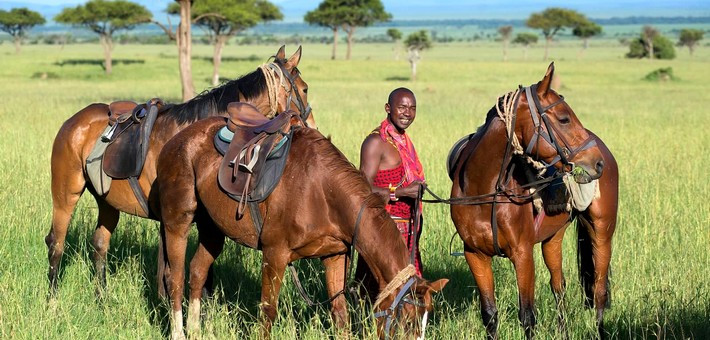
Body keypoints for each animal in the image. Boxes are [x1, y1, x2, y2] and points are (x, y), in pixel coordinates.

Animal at [41, 45, 314, 298]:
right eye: (304, 88)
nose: (311, 125)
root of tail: (73, 121)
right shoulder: (171, 219)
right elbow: (170, 274)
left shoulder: (203, 221)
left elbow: (203, 276)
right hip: (66, 194)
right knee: (56, 242)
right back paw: (52, 301)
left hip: (107, 202)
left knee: (99, 245)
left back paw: (102, 300)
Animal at [158, 115, 448, 338]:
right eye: (407, 320)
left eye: (427, 319)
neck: (322, 191)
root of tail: (175, 139)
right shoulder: (275, 254)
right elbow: (268, 311)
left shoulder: (335, 256)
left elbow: (339, 313)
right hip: (177, 221)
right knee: (176, 277)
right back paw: (179, 333)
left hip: (213, 229)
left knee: (197, 272)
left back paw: (196, 332)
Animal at [448, 63, 616, 338]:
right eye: (564, 118)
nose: (597, 162)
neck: (484, 190)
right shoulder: (475, 255)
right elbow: (490, 315)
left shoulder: (523, 254)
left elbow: (527, 316)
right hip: (553, 238)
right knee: (559, 286)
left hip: (601, 231)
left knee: (599, 290)